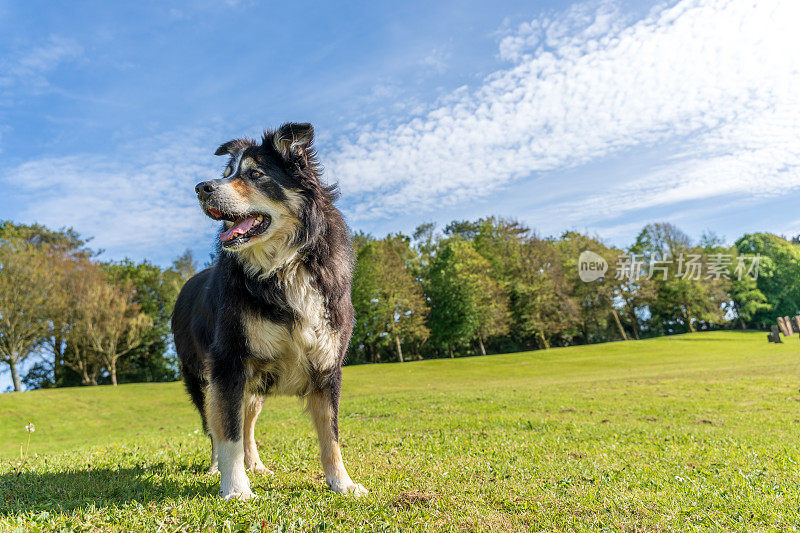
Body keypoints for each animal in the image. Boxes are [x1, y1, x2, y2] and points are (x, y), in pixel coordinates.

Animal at [173, 122, 368, 496]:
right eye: (227, 174)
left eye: (255, 174)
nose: (201, 188)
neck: (285, 265)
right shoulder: (229, 362)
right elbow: (228, 432)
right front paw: (236, 489)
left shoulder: (327, 365)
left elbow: (331, 434)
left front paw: (343, 484)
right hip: (203, 379)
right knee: (216, 426)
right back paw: (218, 468)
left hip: (255, 385)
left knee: (247, 423)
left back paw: (256, 465)